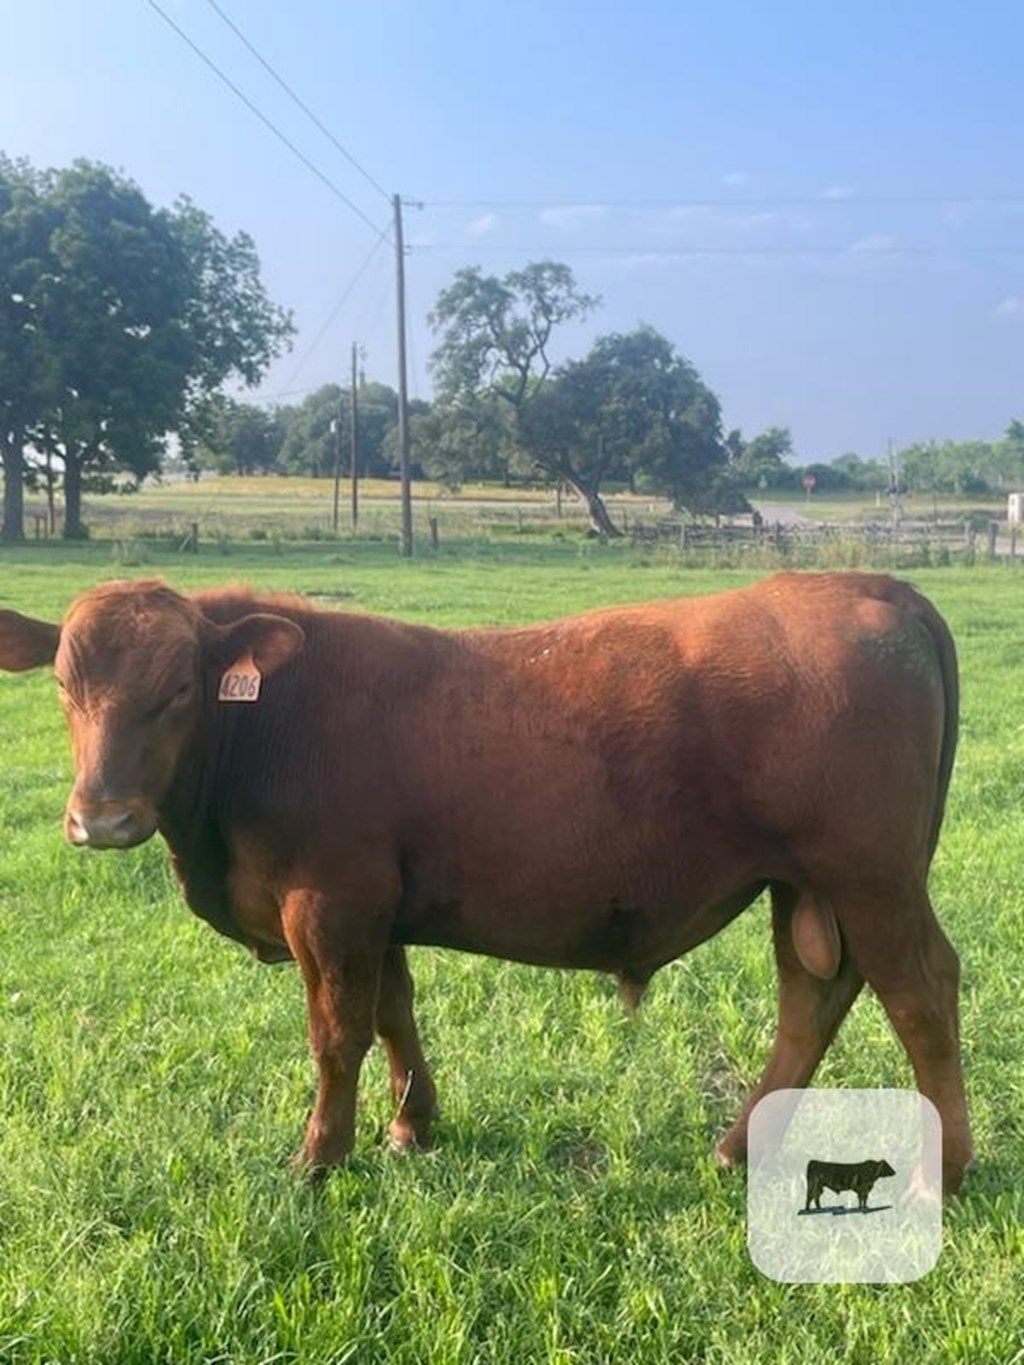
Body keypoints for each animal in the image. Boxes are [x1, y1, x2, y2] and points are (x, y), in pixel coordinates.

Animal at [0, 572, 973, 1194]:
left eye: (178, 691)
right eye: (63, 689)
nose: (101, 819)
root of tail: (866, 582)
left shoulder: (328, 902)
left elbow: (336, 1034)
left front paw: (320, 1157)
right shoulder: (377, 908)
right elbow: (393, 1013)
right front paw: (410, 1126)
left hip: (871, 877)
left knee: (921, 992)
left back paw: (945, 1169)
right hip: (805, 883)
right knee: (813, 996)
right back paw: (740, 1146)